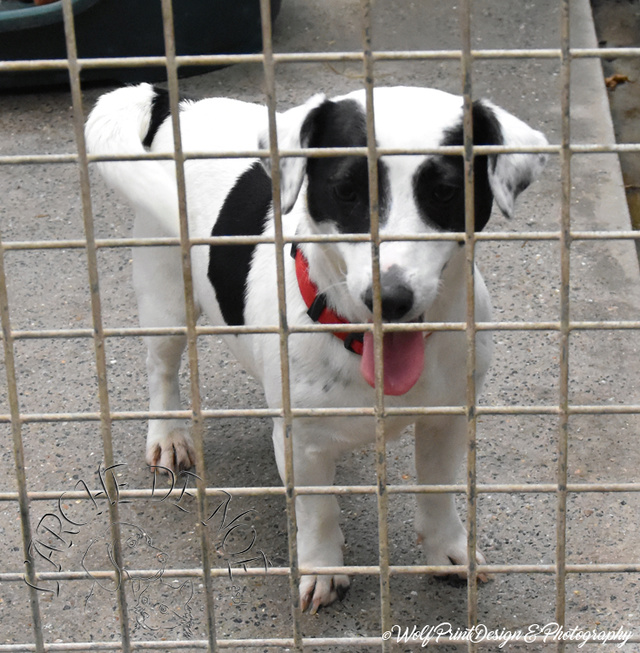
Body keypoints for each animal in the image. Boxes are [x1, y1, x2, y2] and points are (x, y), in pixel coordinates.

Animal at [84, 81, 544, 612]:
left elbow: (438, 491)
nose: (390, 298)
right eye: (345, 190)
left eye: (445, 191)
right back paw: (168, 434)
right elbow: (318, 510)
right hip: (165, 299)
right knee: (161, 368)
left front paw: (448, 551)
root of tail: (180, 106)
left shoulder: (446, 419)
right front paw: (324, 569)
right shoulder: (300, 444)